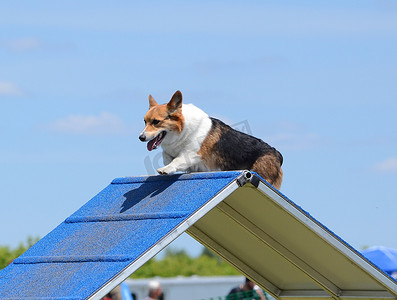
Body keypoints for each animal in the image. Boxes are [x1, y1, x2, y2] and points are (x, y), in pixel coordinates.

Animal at [138, 90, 282, 189]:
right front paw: (167, 162)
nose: (141, 137)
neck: (184, 130)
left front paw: (166, 169)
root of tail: (277, 153)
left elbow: (178, 160)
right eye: (145, 121)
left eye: (156, 122)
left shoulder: (192, 154)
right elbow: (167, 156)